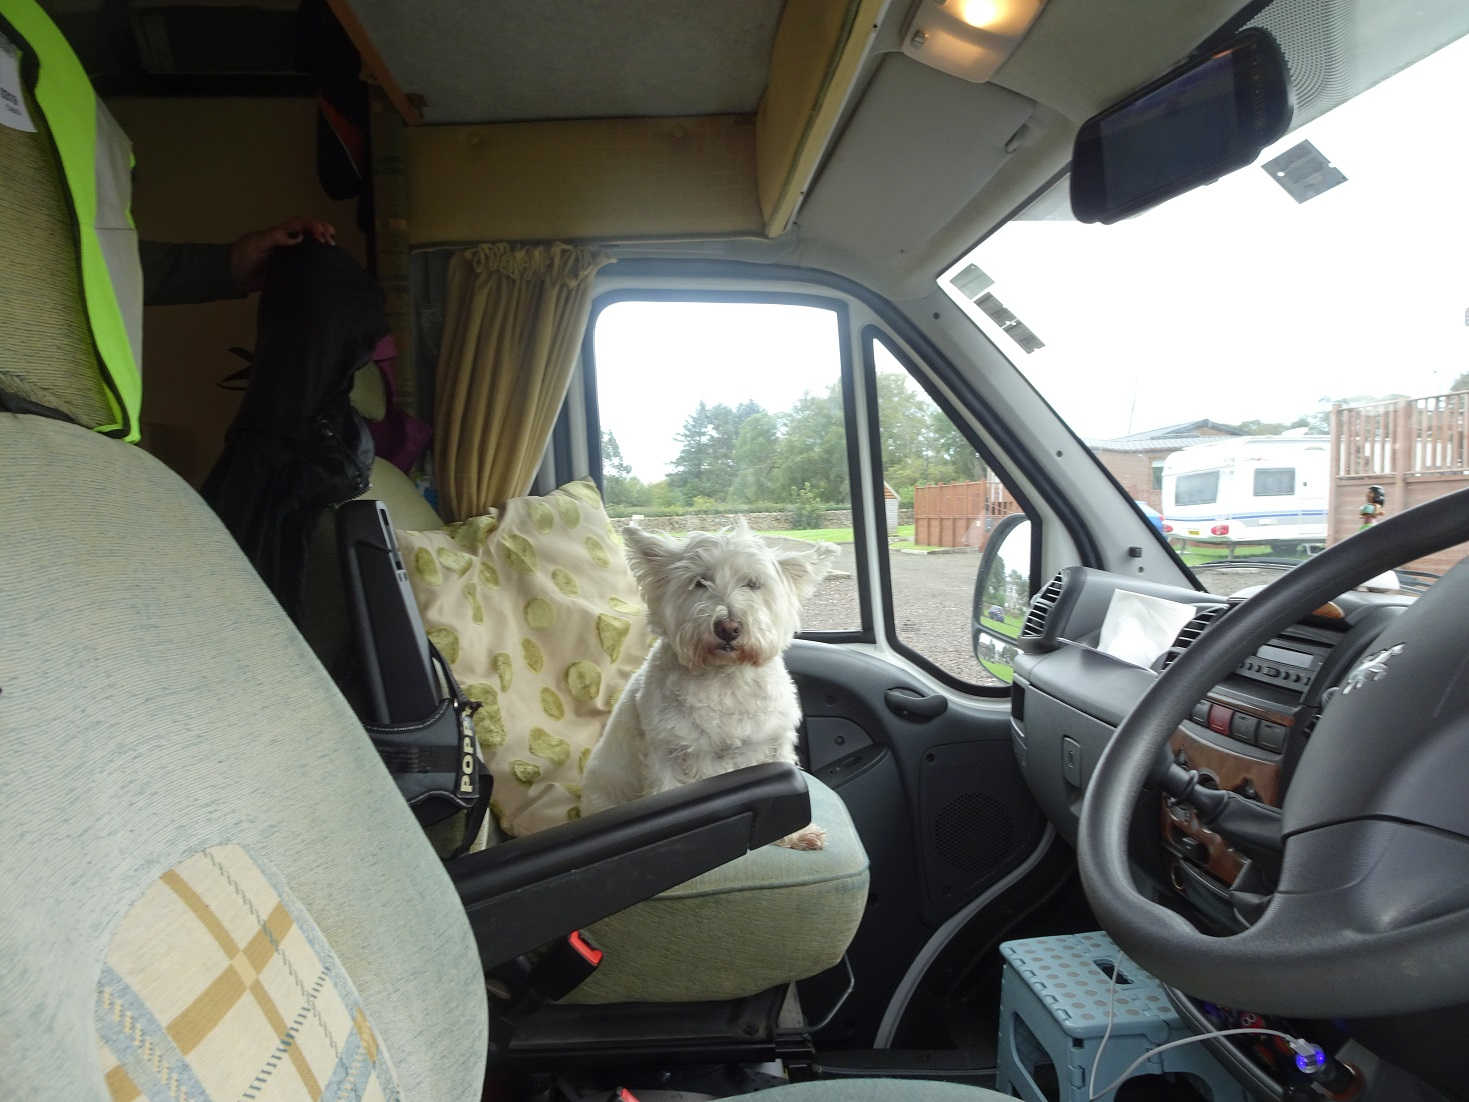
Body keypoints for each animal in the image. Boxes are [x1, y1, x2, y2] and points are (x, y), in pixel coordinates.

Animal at [581, 523, 840, 852]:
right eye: (699, 581)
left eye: (753, 584)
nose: (728, 627)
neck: (725, 678)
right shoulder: (666, 752)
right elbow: (664, 787)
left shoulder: (773, 740)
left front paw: (797, 833)